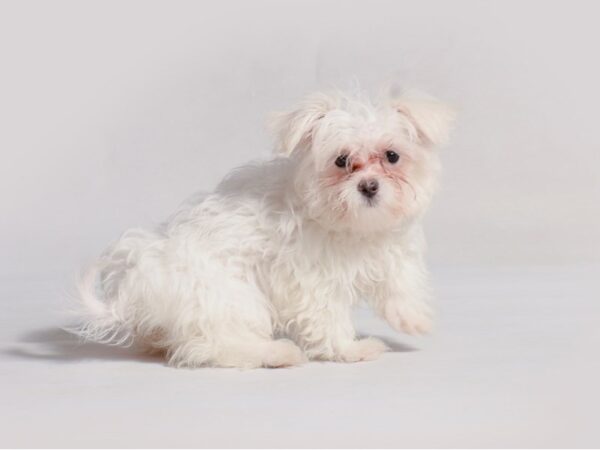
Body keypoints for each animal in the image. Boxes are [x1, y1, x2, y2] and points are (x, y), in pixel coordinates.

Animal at [70, 86, 454, 368]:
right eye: (341, 161)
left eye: (392, 156)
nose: (369, 186)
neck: (354, 226)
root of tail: (139, 283)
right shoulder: (312, 284)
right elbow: (328, 319)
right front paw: (350, 350)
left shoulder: (389, 248)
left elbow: (399, 280)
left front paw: (413, 317)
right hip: (231, 297)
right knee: (217, 345)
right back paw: (276, 353)